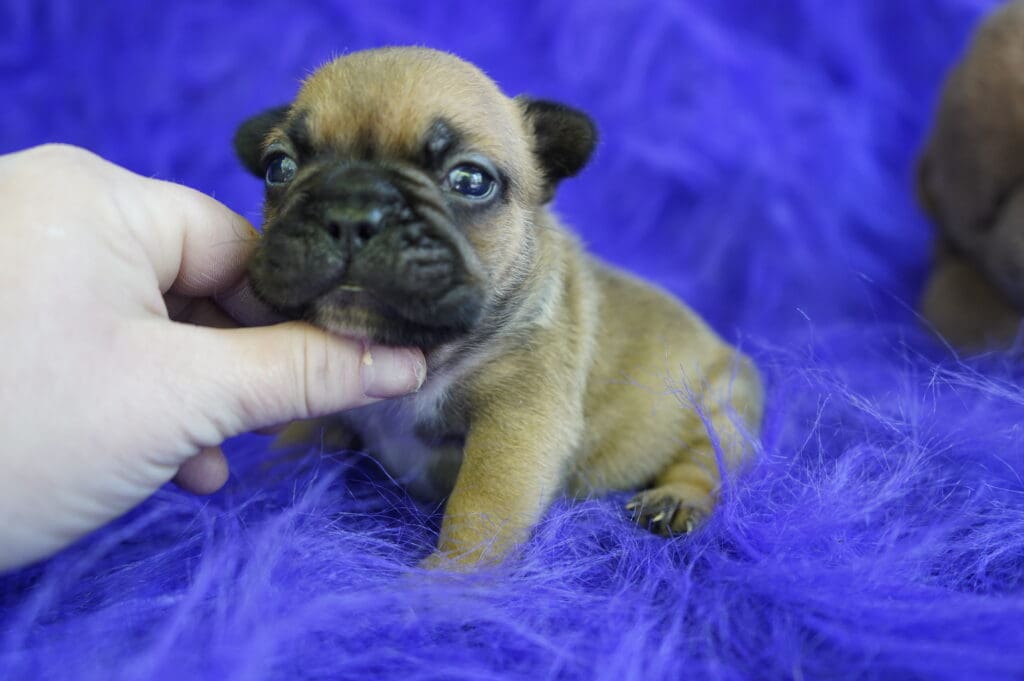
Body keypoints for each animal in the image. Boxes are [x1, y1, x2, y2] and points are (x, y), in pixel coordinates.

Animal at [232, 47, 761, 565]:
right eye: (278, 168)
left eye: (470, 180)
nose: (350, 212)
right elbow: (297, 440)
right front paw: (261, 490)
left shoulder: (517, 424)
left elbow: (482, 508)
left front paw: (447, 580)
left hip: (722, 405)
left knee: (706, 460)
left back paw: (674, 500)